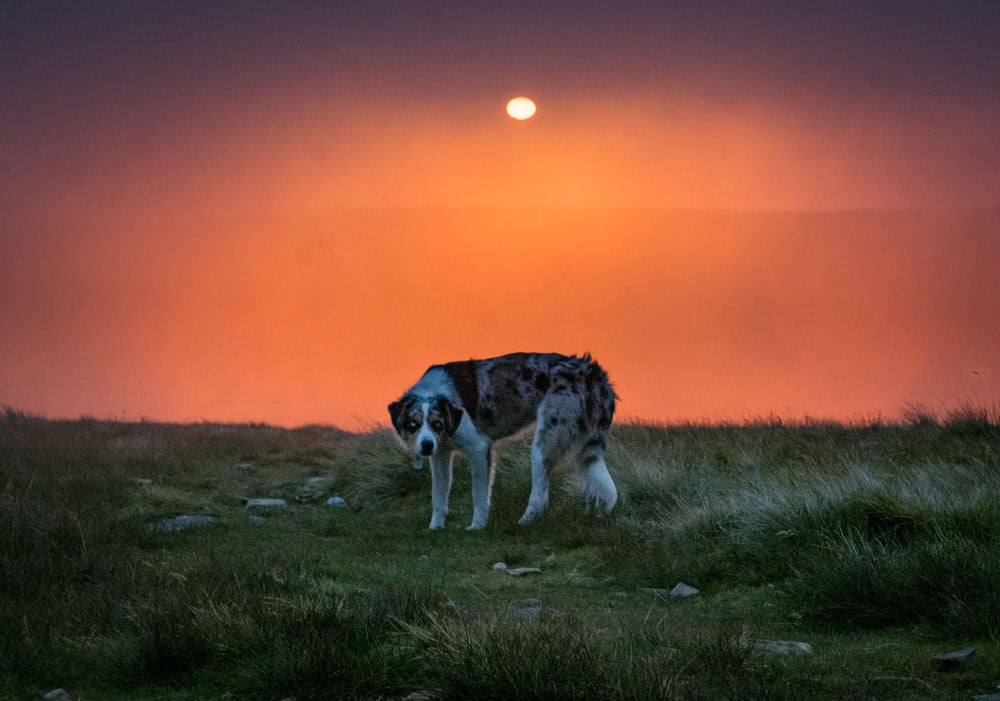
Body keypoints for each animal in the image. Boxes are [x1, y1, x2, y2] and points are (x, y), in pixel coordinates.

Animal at [384, 352, 612, 528]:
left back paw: (523, 523)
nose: (426, 445)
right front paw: (435, 528)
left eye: (437, 423)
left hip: (544, 444)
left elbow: (479, 495)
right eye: (413, 424)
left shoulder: (479, 449)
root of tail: (593, 371)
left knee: (540, 495)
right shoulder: (440, 456)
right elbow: (438, 497)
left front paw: (477, 527)